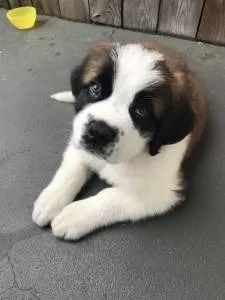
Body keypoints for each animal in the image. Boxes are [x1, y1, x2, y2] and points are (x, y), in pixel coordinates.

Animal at [32, 41, 207, 240]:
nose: (98, 132)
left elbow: (111, 196)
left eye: (141, 111)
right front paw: (50, 200)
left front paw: (74, 215)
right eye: (95, 89)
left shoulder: (165, 192)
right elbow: (71, 171)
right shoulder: (78, 144)